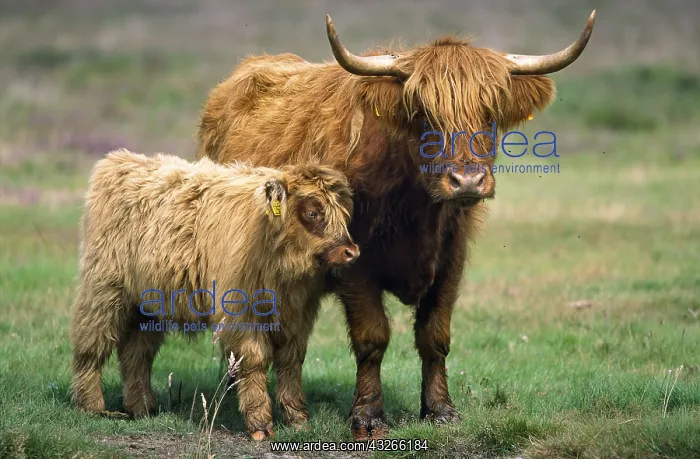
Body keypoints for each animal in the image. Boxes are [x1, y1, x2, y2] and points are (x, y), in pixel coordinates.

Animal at [70, 149, 358, 440]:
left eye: (343, 214)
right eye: (312, 212)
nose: (351, 251)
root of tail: (120, 159)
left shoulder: (297, 315)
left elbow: (291, 361)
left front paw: (298, 419)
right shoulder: (241, 312)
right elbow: (254, 360)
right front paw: (260, 423)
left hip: (147, 304)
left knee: (137, 353)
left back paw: (141, 406)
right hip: (104, 291)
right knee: (91, 344)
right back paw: (91, 405)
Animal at [196, 11, 596, 439]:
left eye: (490, 114)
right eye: (424, 114)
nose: (467, 181)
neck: (417, 210)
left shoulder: (452, 259)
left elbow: (435, 336)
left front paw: (441, 410)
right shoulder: (354, 262)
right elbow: (372, 337)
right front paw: (368, 416)